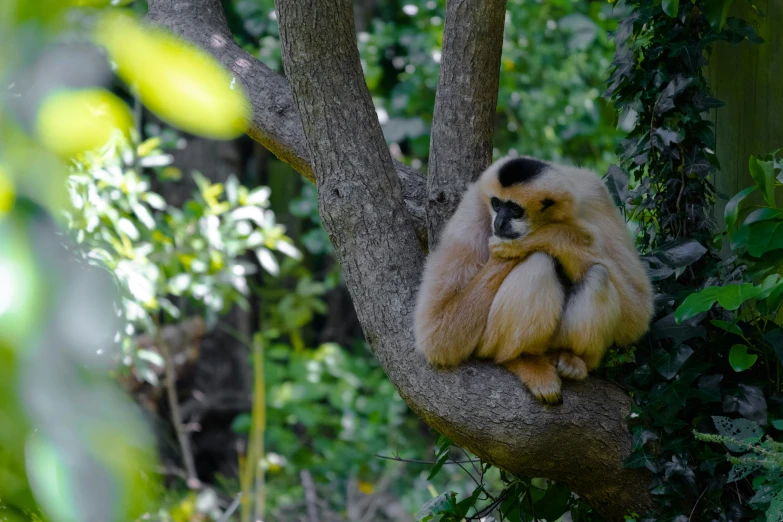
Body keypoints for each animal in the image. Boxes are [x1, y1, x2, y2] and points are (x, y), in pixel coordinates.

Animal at [416, 154, 656, 402]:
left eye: (514, 209)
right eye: (496, 204)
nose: (499, 223)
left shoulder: (596, 195)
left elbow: (637, 311)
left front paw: (542, 238)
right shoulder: (474, 206)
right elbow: (437, 334)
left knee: (598, 275)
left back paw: (572, 359)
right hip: (487, 343)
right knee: (539, 262)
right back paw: (523, 359)